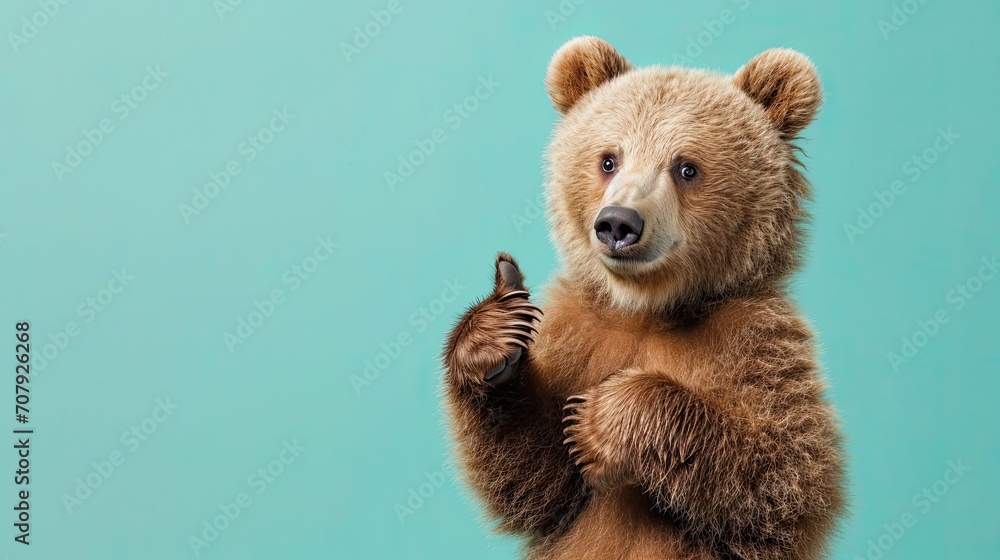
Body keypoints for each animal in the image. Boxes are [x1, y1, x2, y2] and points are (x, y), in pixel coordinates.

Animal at [442, 37, 846, 560]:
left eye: (686, 167)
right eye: (608, 159)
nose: (618, 222)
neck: (647, 308)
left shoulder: (756, 340)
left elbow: (785, 477)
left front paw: (599, 420)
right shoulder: (578, 333)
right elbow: (537, 483)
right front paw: (495, 336)